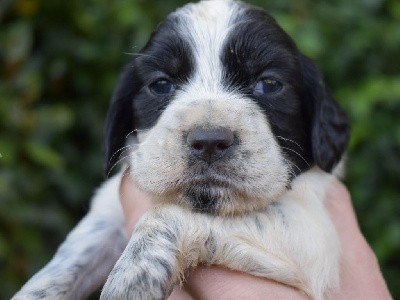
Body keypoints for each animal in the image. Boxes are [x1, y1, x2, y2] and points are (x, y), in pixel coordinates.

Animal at [13, 1, 350, 298]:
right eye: (161, 84)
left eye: (268, 84)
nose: (210, 141)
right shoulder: (109, 209)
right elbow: (67, 261)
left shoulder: (312, 234)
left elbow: (167, 214)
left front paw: (133, 276)